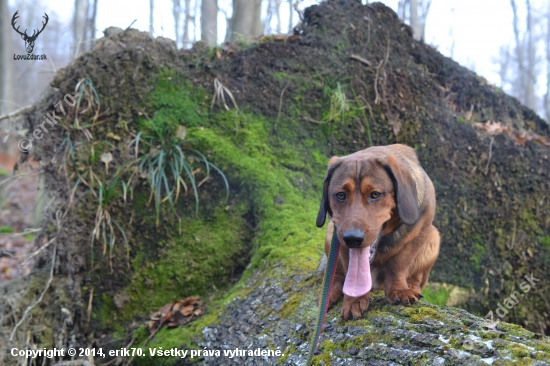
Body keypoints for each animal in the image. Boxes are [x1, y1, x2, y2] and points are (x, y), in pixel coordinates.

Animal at [316, 144, 442, 318]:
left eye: (375, 194)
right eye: (340, 195)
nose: (352, 238)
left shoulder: (422, 230)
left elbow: (398, 265)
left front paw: (399, 289)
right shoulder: (339, 237)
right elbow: (350, 272)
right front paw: (354, 299)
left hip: (434, 238)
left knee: (417, 277)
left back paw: (411, 285)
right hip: (331, 233)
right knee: (336, 275)